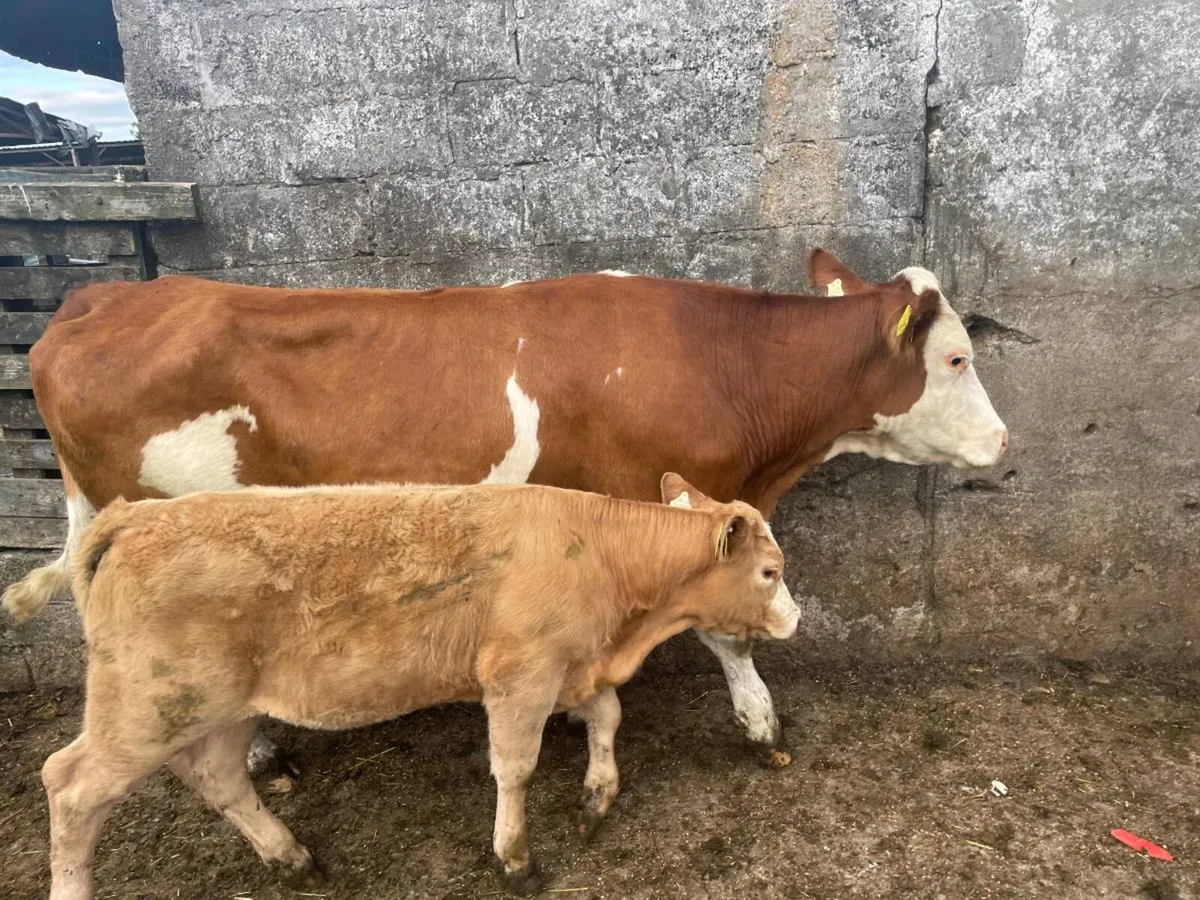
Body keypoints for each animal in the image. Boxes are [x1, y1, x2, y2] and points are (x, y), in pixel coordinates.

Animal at [40, 475, 799, 900]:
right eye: (769, 572)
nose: (795, 617)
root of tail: (133, 516)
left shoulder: (570, 664)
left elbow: (607, 716)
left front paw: (597, 796)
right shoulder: (520, 675)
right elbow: (515, 768)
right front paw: (515, 859)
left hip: (216, 710)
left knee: (219, 778)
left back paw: (292, 859)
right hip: (143, 710)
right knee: (70, 786)